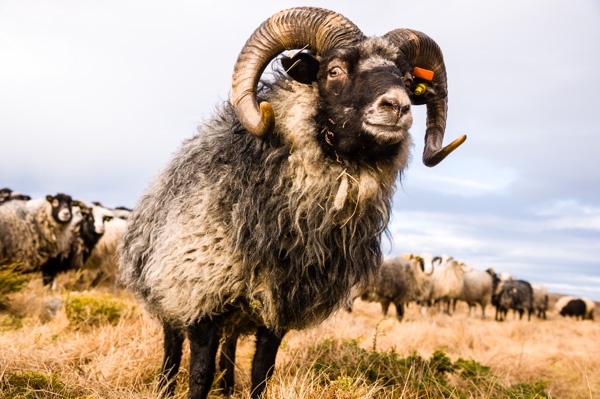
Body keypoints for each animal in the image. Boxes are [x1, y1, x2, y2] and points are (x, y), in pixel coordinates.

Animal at [116, 7, 464, 399]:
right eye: (335, 70)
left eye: (406, 79)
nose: (398, 106)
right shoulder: (201, 302)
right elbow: (199, 376)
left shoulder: (276, 314)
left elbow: (260, 375)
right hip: (168, 294)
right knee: (172, 348)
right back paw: (165, 386)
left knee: (228, 350)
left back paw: (227, 387)